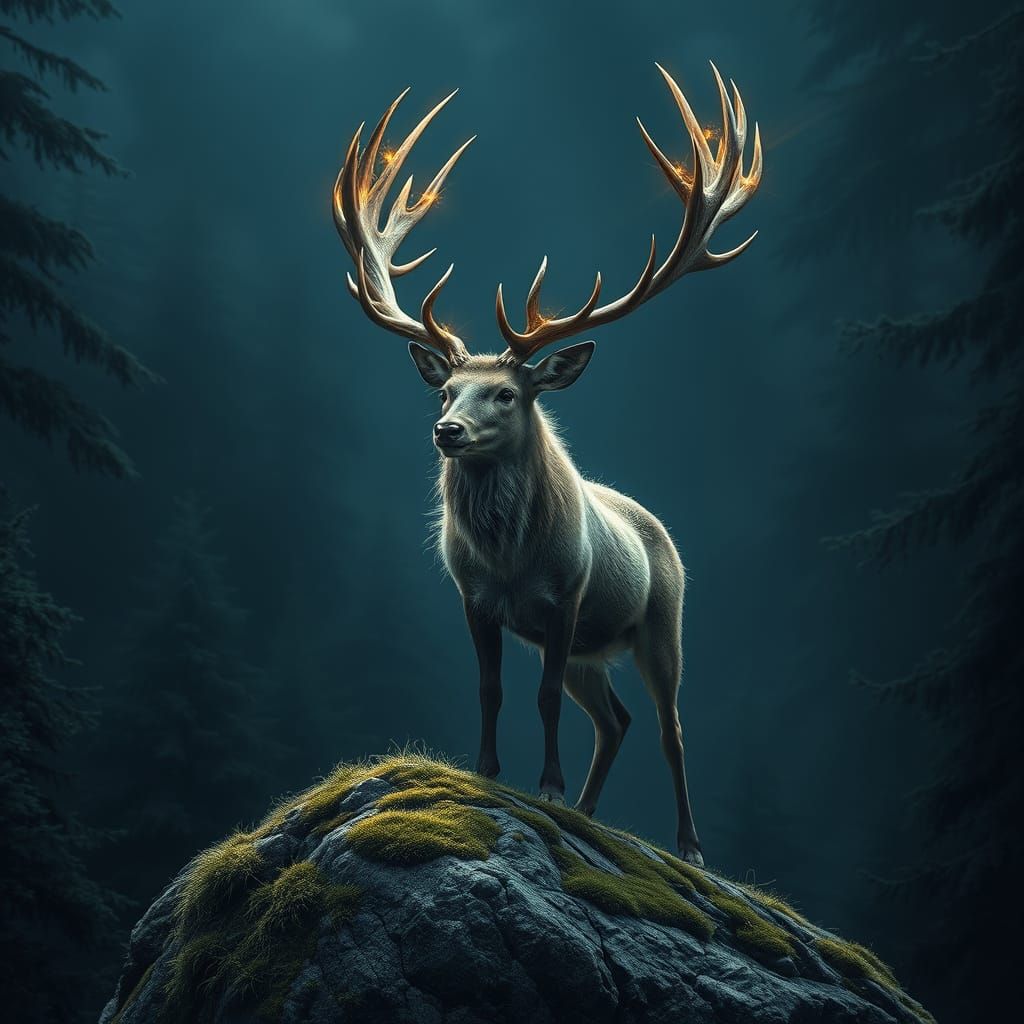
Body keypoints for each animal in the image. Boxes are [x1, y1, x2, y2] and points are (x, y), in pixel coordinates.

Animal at [331, 62, 762, 865]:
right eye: (445, 388)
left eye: (506, 393)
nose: (447, 430)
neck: (510, 559)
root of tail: (657, 527)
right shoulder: (474, 599)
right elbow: (492, 690)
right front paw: (489, 773)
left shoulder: (567, 597)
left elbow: (543, 696)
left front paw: (550, 788)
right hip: (600, 648)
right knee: (616, 720)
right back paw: (593, 813)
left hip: (662, 622)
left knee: (669, 726)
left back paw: (687, 845)